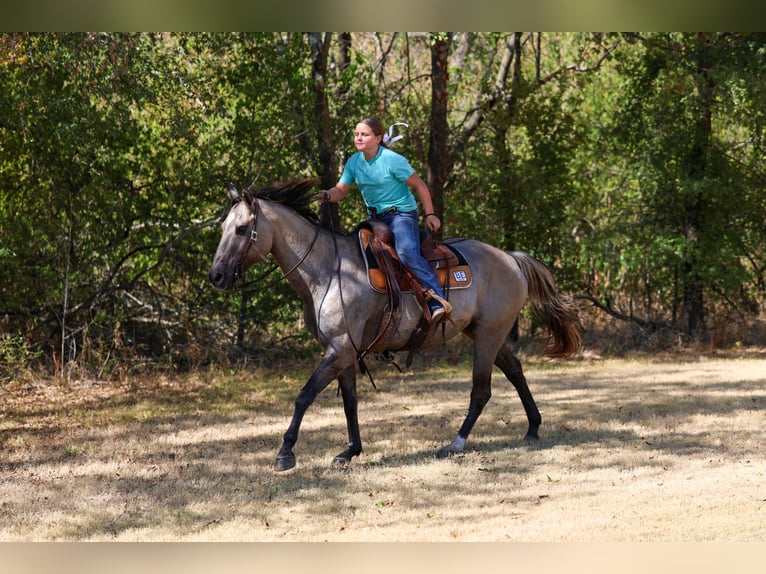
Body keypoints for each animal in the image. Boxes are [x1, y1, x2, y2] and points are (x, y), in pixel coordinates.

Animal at [208, 178, 582, 471]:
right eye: (223, 228)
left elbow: (304, 395)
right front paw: (350, 450)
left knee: (481, 390)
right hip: (488, 333)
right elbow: (349, 401)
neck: (328, 270)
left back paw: (456, 443)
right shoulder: (344, 351)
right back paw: (532, 427)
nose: (217, 276)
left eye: (241, 229)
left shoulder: (339, 349)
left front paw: (285, 452)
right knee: (515, 369)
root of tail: (511, 258)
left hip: (488, 336)